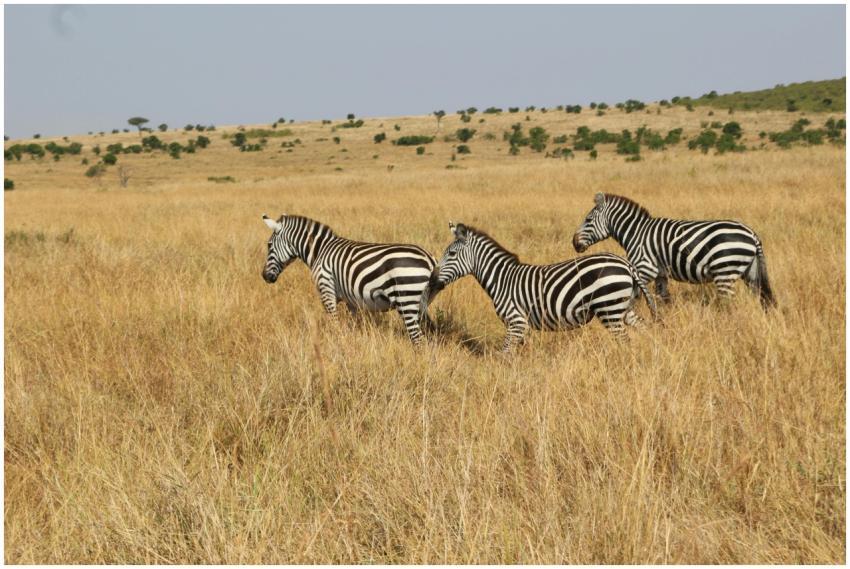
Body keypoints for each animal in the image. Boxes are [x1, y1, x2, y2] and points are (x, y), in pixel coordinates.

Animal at [262, 214, 439, 345]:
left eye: (269, 245)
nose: (264, 276)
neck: (320, 251)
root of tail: (429, 258)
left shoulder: (326, 289)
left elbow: (333, 323)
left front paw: (336, 345)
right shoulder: (351, 300)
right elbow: (354, 326)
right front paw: (352, 345)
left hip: (406, 299)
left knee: (418, 339)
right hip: (420, 303)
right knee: (429, 334)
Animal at [423, 222, 657, 353]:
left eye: (451, 254)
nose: (432, 280)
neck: (501, 279)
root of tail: (625, 263)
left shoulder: (516, 321)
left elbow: (504, 354)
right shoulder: (521, 326)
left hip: (609, 308)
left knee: (625, 340)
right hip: (623, 308)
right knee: (644, 330)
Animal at [572, 193, 775, 308]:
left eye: (588, 220)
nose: (574, 243)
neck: (636, 232)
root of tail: (752, 233)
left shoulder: (645, 268)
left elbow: (635, 297)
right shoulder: (661, 274)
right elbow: (663, 299)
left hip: (725, 270)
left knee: (728, 303)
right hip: (750, 271)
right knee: (762, 297)